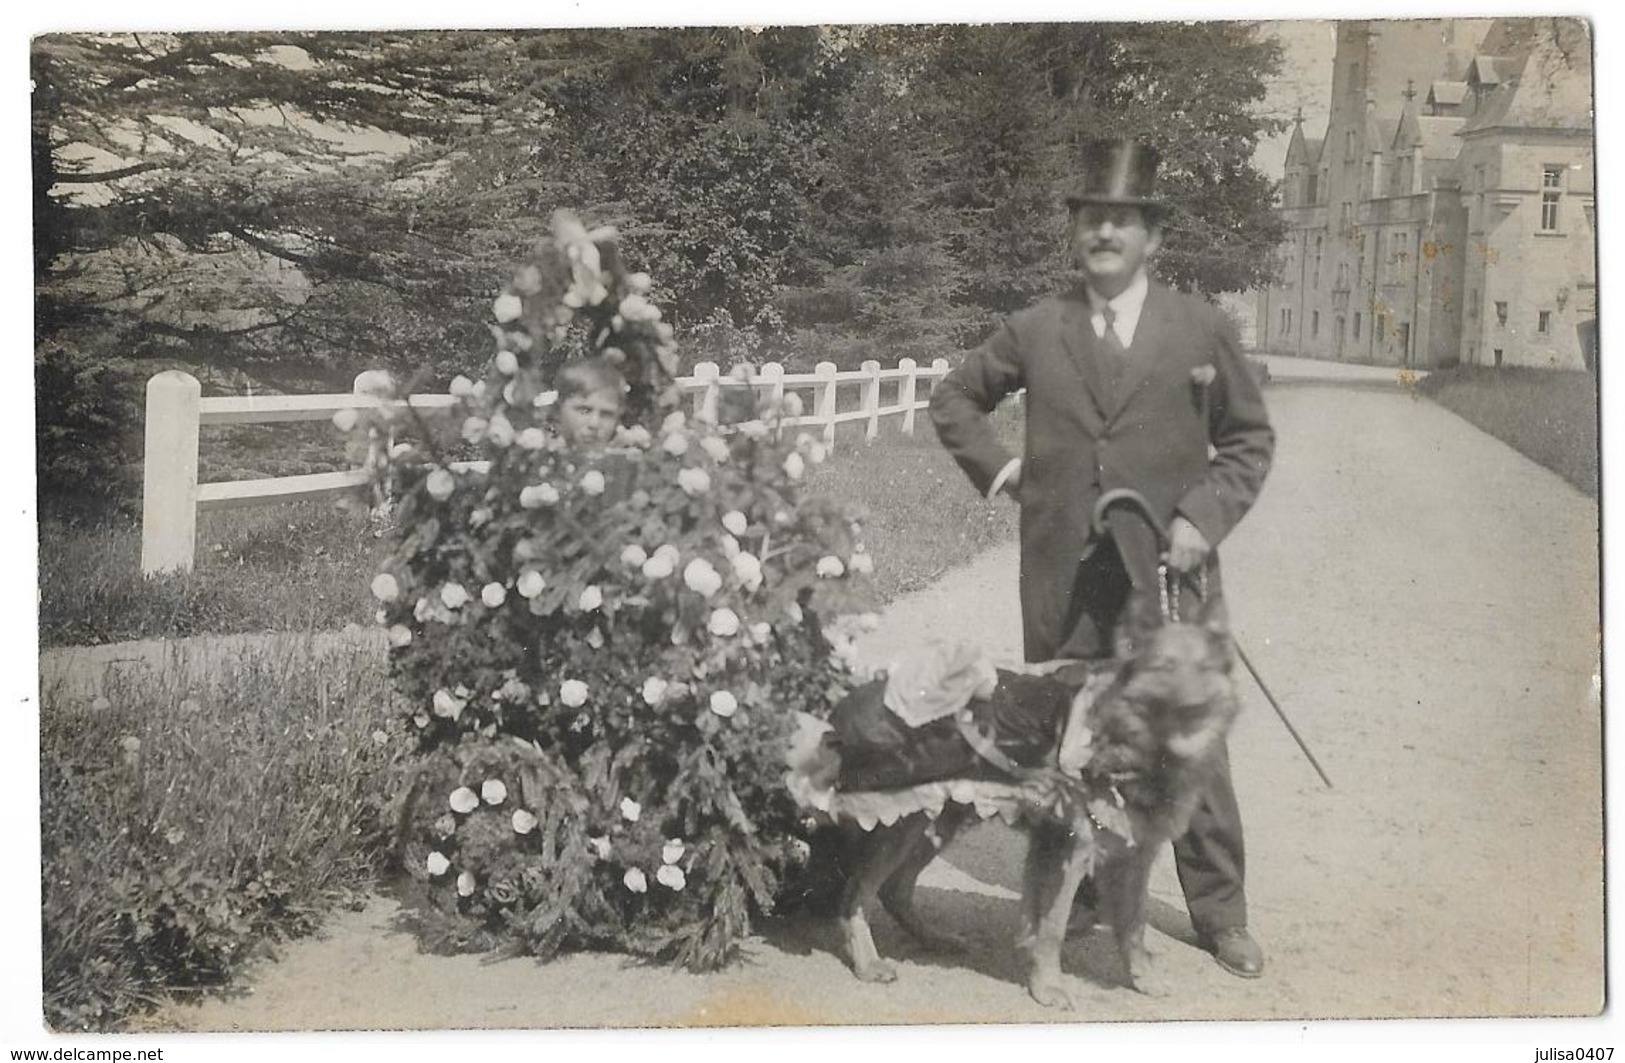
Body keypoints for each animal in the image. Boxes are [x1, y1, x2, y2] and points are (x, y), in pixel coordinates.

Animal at [819, 604, 1235, 1014]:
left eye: (1204, 668)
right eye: (1164, 667)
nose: (1195, 709)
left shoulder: (1134, 857)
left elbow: (1134, 927)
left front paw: (1143, 978)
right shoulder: (1066, 852)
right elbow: (1052, 928)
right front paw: (1048, 987)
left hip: (939, 821)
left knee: (894, 889)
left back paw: (934, 938)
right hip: (903, 822)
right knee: (855, 894)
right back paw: (868, 963)